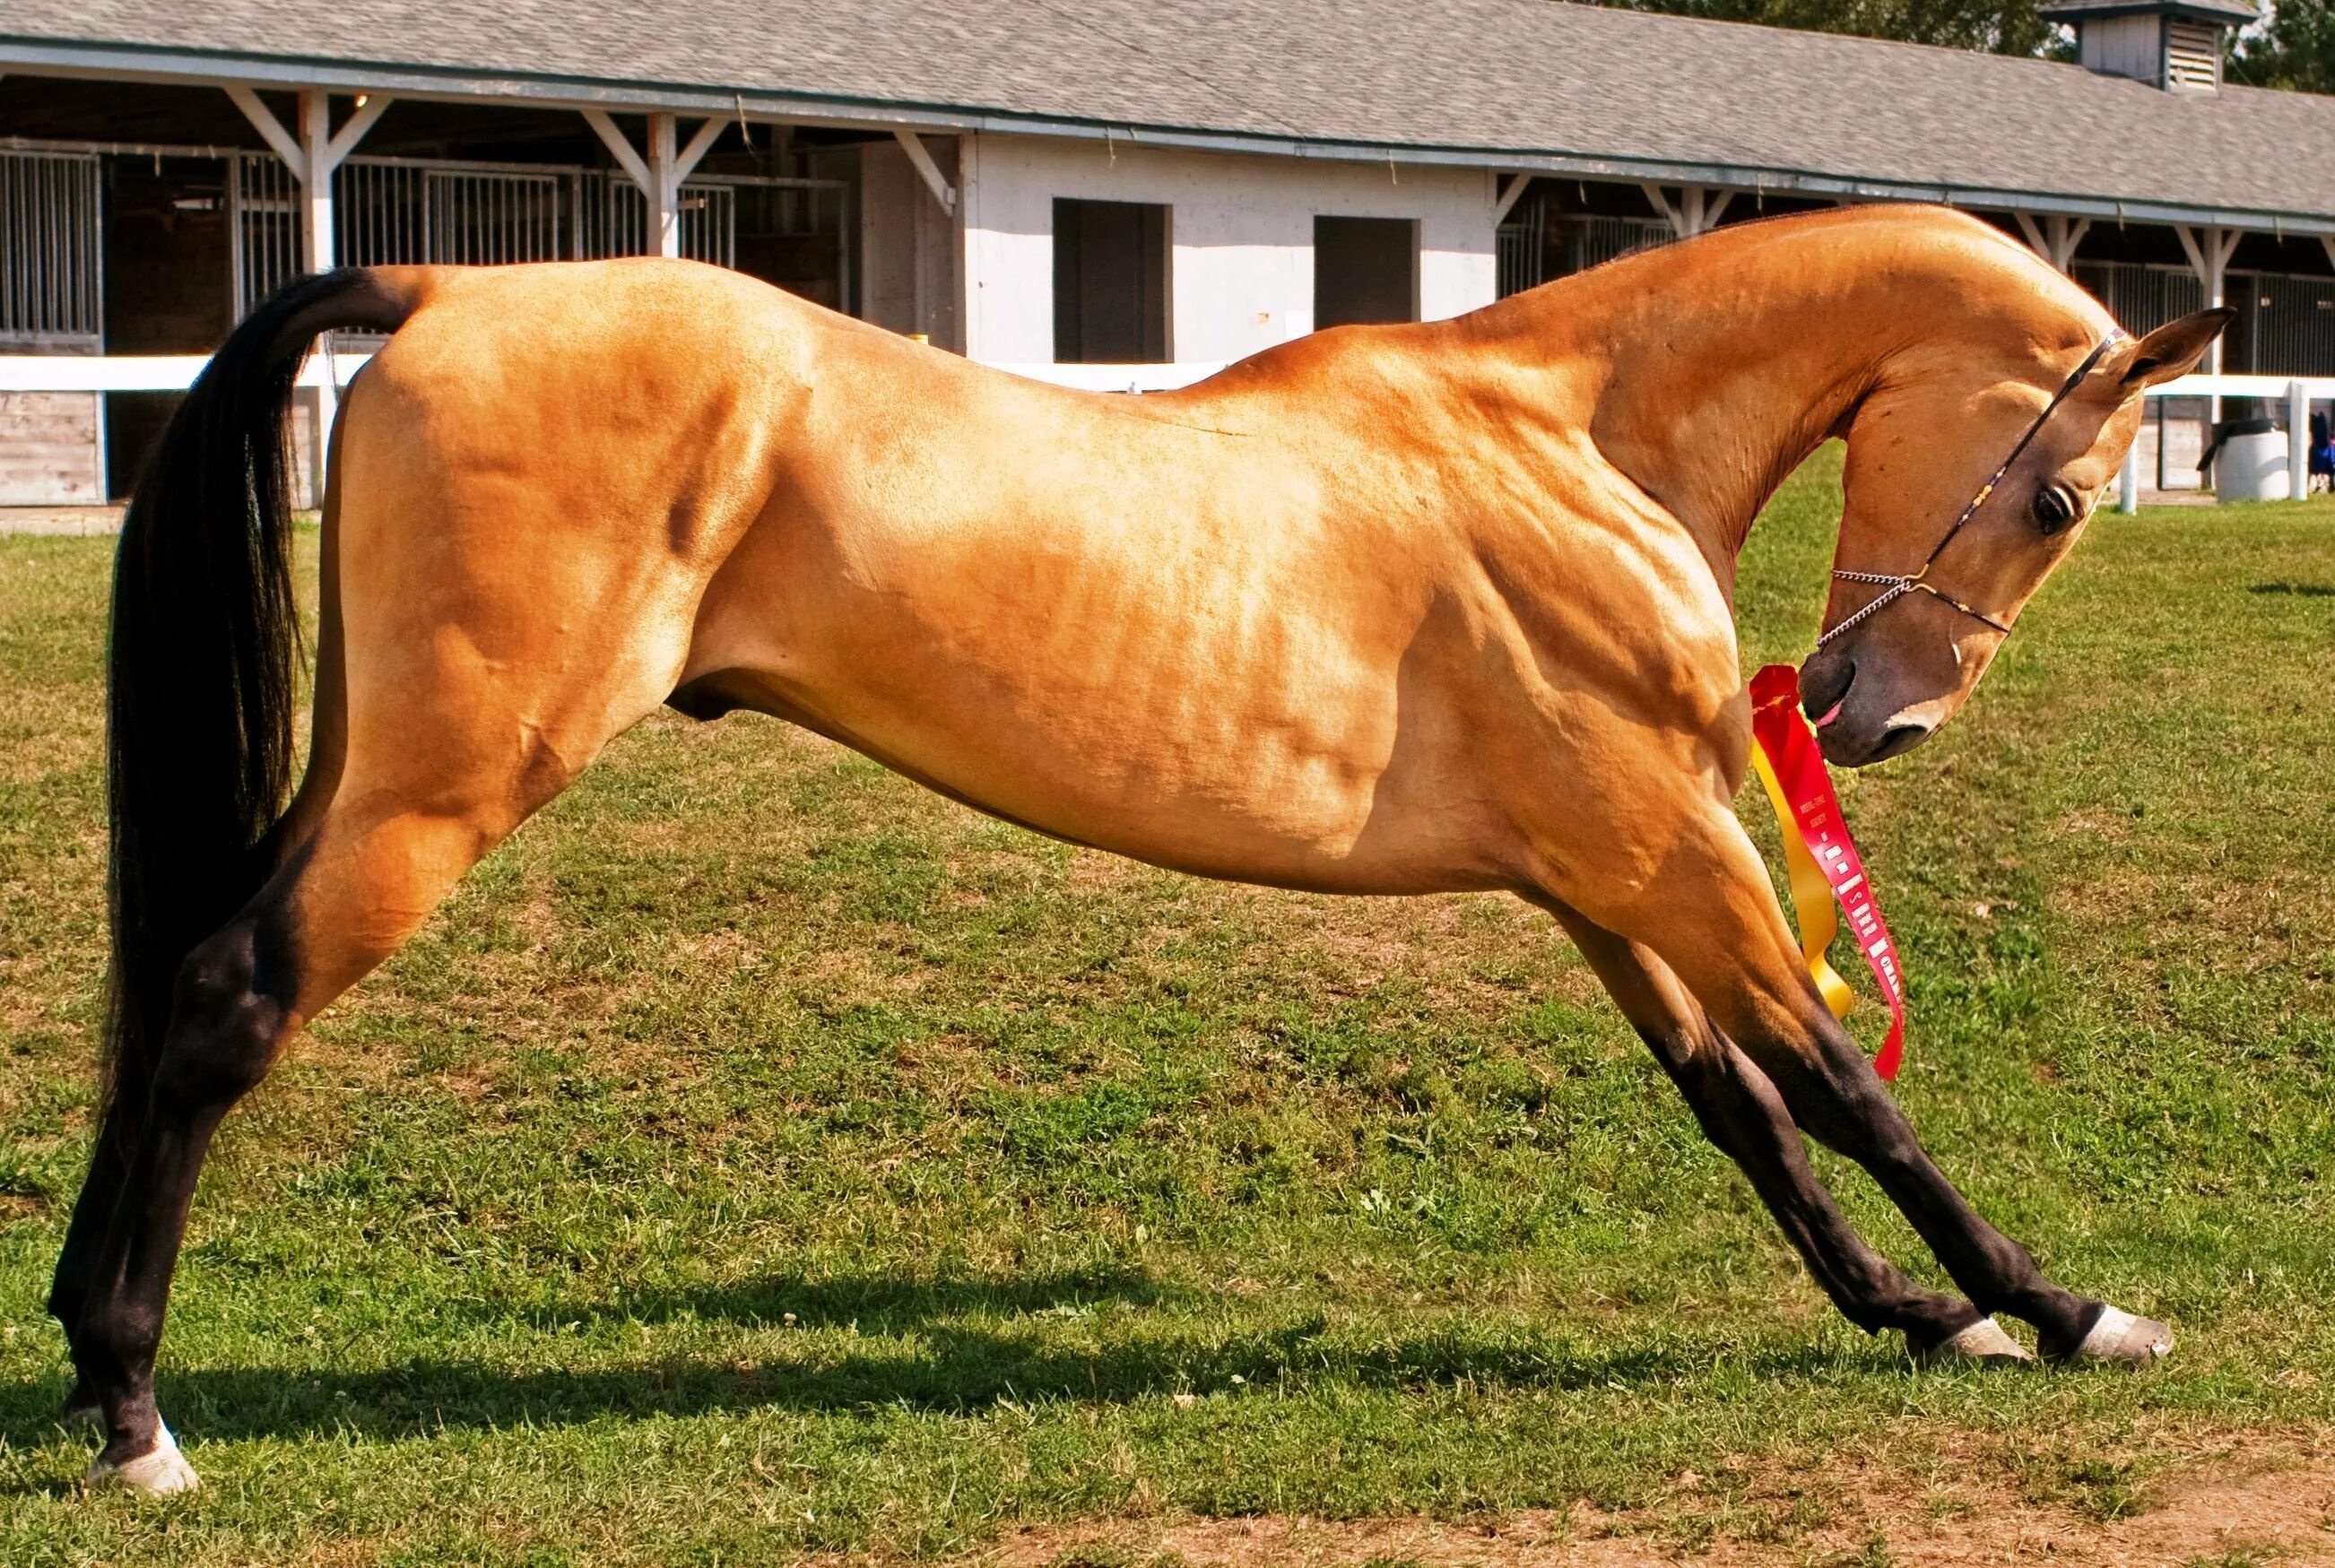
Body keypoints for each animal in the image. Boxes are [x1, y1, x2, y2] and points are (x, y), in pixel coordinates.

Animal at [49, 205, 2223, 1493]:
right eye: (2058, 495)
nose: (1873, 715)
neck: (1565, 443)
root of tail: (438, 289)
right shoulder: (1668, 848)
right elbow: (1844, 1080)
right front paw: (2055, 1308)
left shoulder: (1596, 878)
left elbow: (1741, 1108)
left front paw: (1915, 1314)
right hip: (440, 789)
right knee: (225, 999)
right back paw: (138, 1414)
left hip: (369, 767)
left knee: (172, 988)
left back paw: (89, 1368)